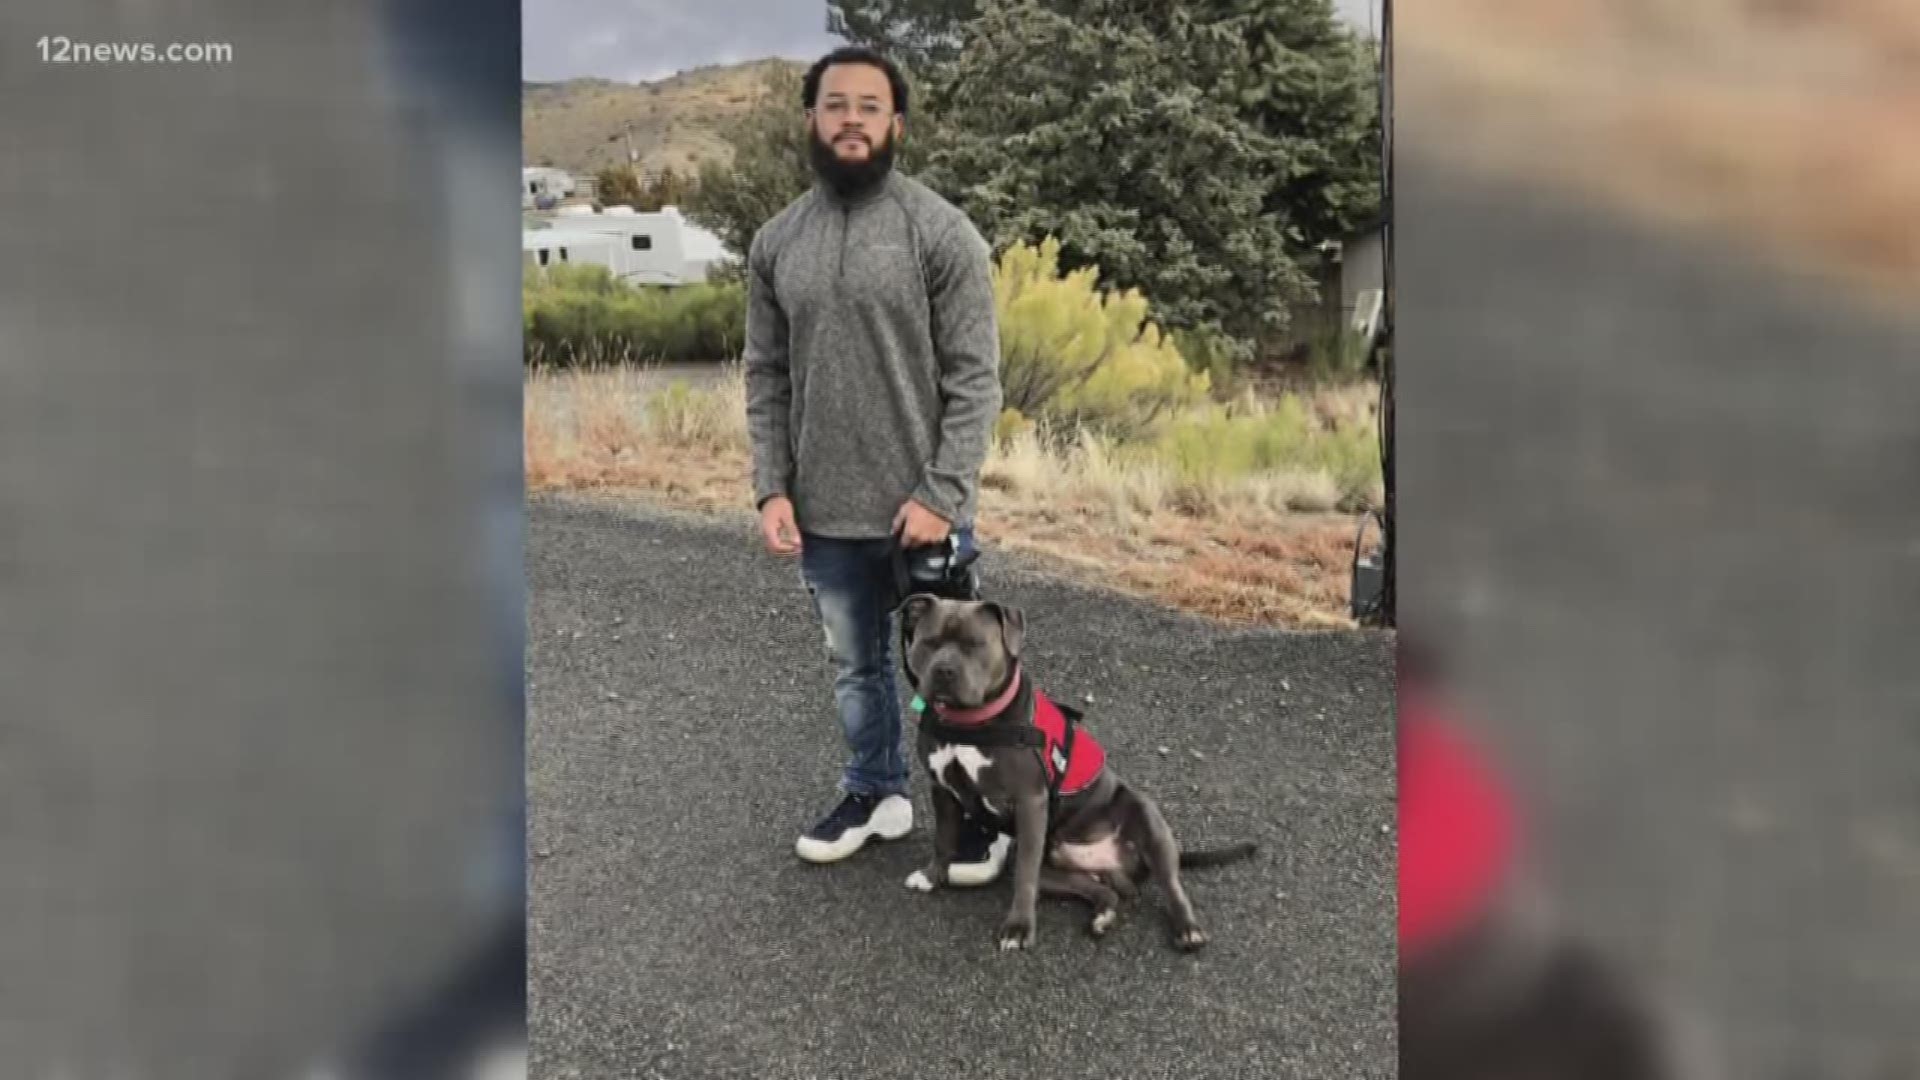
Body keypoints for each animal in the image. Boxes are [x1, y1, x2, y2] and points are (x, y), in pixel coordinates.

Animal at [890, 588, 1251, 949]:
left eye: (974, 644)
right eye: (929, 642)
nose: (944, 670)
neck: (970, 724)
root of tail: (1111, 864)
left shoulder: (1030, 802)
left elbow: (1024, 876)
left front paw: (1019, 927)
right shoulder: (942, 790)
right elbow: (943, 838)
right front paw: (932, 876)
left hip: (1146, 817)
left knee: (1172, 884)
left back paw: (1187, 928)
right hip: (1058, 870)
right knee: (1100, 890)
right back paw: (1103, 914)